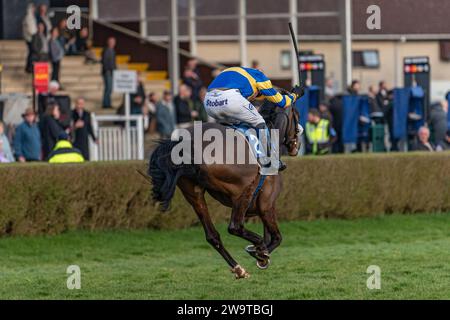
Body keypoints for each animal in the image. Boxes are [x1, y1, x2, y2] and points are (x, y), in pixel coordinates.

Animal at [149, 102, 300, 278]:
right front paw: (261, 254)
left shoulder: (261, 207)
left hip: (193, 193)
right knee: (235, 227)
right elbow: (276, 238)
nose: (296, 144)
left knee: (212, 235)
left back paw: (239, 268)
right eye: (297, 116)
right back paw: (258, 246)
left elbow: (270, 234)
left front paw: (260, 254)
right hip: (244, 188)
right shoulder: (267, 205)